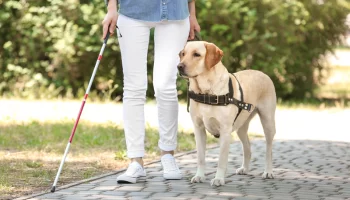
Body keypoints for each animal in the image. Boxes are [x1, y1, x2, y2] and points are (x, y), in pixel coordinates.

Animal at [178, 41, 276, 187]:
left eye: (197, 54)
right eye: (183, 54)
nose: (179, 66)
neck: (206, 92)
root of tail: (262, 73)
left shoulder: (225, 130)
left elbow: (221, 159)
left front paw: (218, 178)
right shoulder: (198, 129)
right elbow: (200, 157)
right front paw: (199, 176)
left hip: (268, 122)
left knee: (269, 150)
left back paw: (268, 171)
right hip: (240, 127)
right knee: (247, 147)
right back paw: (245, 168)